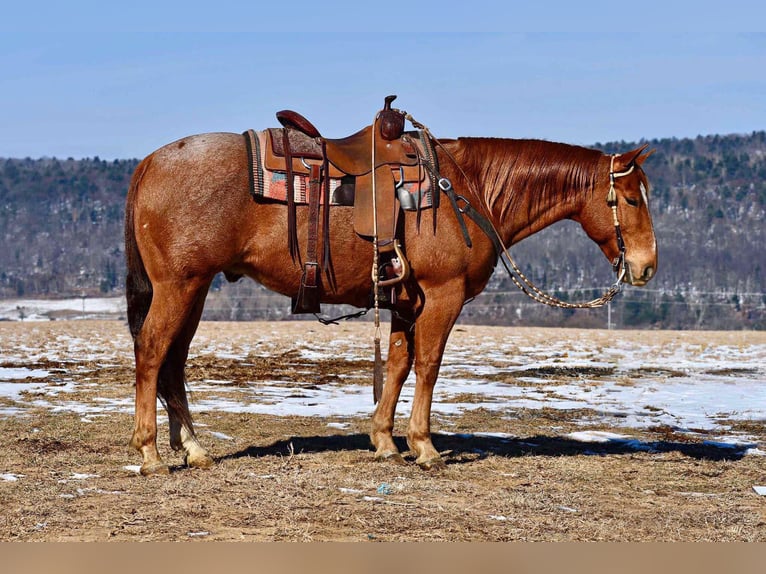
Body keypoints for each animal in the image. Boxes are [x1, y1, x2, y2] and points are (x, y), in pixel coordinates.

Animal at [123, 122, 656, 476]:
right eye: (631, 199)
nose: (646, 266)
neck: (468, 189)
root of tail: (149, 162)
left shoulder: (404, 300)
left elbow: (398, 365)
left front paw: (385, 441)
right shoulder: (443, 295)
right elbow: (429, 364)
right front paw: (424, 446)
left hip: (194, 289)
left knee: (174, 362)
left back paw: (193, 448)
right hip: (179, 286)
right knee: (151, 352)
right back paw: (150, 454)